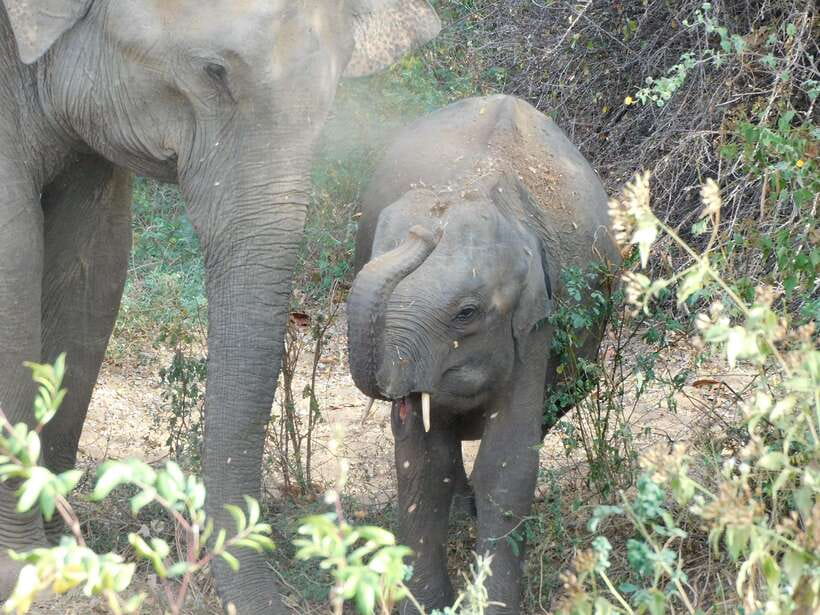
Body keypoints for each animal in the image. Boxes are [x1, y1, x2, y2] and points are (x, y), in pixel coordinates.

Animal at [0, 0, 439, 612]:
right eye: (213, 71)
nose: (427, 225)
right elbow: (13, 267)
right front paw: (22, 574)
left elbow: (95, 266)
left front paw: (65, 555)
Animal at [347, 95, 621, 614]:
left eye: (466, 313)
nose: (422, 234)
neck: (467, 184)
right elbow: (420, 462)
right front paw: (428, 606)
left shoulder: (535, 323)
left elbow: (508, 462)